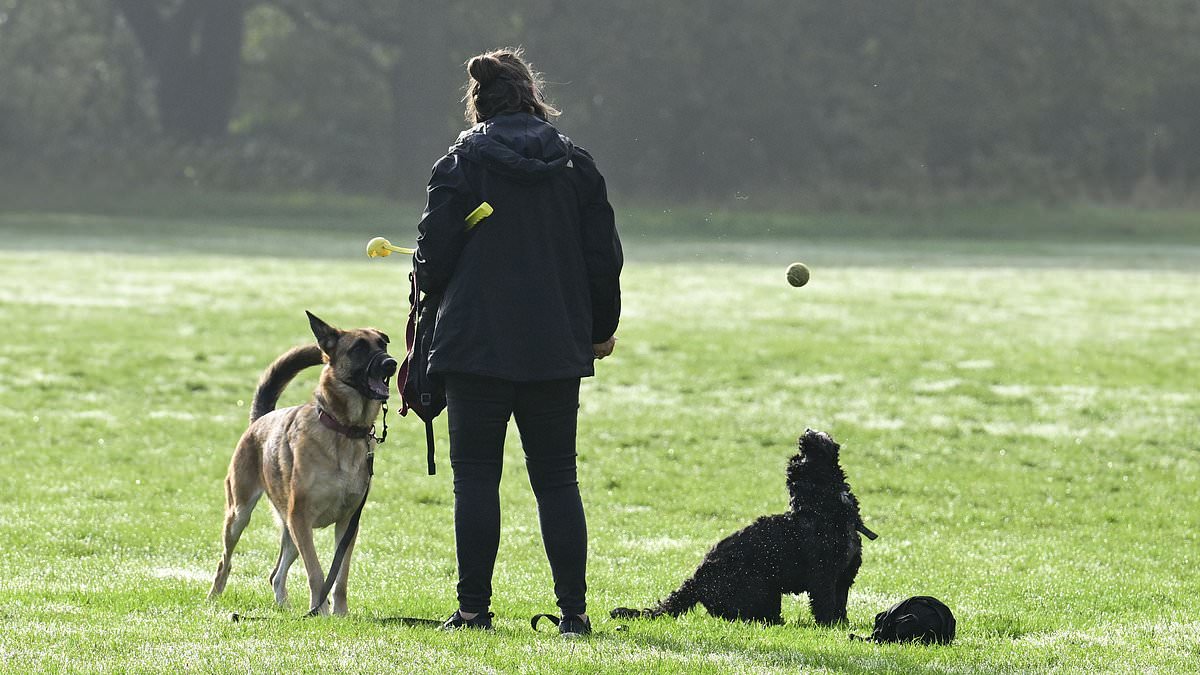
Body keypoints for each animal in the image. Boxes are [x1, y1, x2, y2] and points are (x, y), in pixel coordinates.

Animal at [205, 312, 393, 612]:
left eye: (383, 343)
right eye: (359, 348)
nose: (392, 363)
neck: (344, 428)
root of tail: (260, 419)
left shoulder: (347, 524)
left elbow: (340, 578)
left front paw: (340, 614)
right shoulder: (301, 518)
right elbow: (317, 573)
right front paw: (321, 612)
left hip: (289, 530)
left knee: (276, 574)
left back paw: (284, 609)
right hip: (241, 515)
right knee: (225, 561)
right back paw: (214, 599)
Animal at [614, 427, 878, 624]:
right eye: (800, 457)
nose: (806, 433)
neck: (823, 509)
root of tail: (696, 581)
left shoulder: (844, 577)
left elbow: (840, 605)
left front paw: (841, 625)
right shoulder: (823, 577)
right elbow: (826, 604)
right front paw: (828, 626)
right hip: (762, 590)